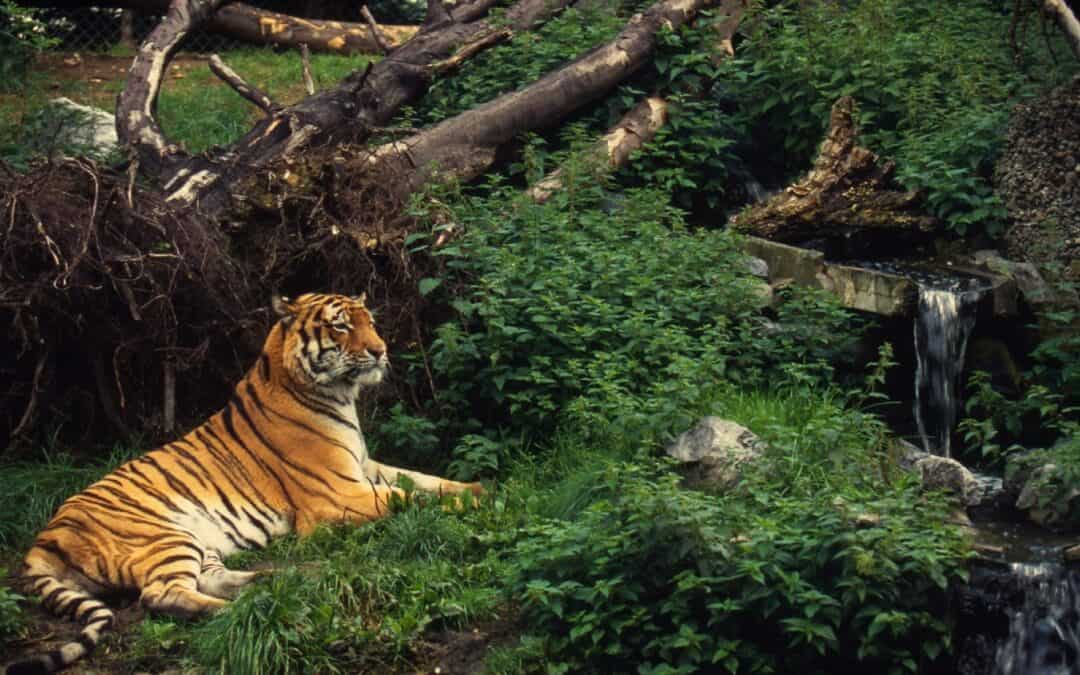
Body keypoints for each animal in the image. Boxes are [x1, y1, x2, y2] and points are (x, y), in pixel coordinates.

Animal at [5, 292, 482, 675]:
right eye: (342, 325)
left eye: (370, 321)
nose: (381, 351)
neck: (337, 395)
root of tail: (44, 538)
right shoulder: (337, 495)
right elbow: (406, 498)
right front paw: (480, 504)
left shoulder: (366, 469)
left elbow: (424, 480)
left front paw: (479, 489)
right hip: (164, 536)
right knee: (162, 595)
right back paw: (253, 614)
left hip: (200, 543)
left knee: (206, 580)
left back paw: (267, 586)